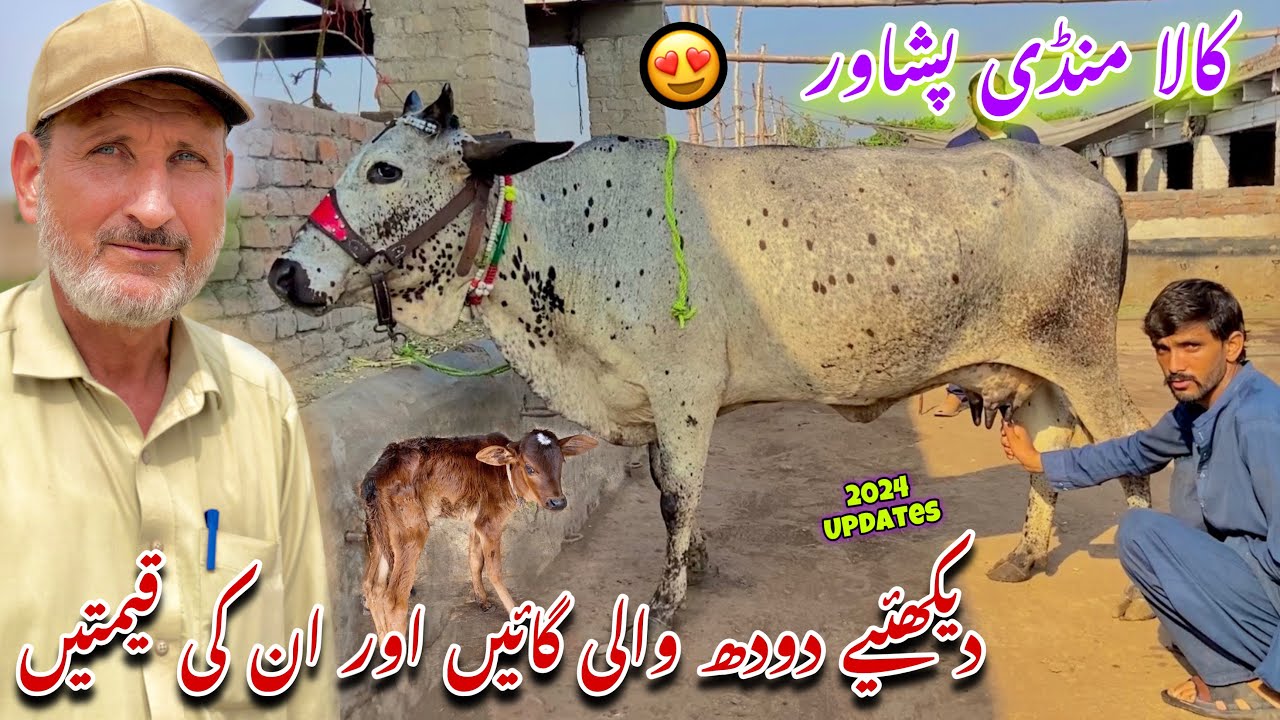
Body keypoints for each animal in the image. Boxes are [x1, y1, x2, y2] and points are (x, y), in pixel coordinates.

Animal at [268, 85, 1154, 628]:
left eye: (386, 168)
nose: (285, 273)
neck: (565, 237)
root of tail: (1082, 171)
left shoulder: (683, 388)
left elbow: (677, 493)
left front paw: (670, 594)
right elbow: (670, 488)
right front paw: (697, 560)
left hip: (1084, 357)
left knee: (1129, 451)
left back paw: (1140, 597)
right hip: (1036, 369)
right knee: (1047, 451)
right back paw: (1028, 556)